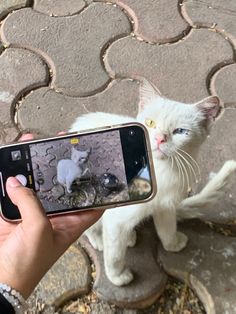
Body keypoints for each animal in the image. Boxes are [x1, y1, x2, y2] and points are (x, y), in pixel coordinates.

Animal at [68, 79, 236, 286]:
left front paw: (172, 244)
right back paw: (99, 239)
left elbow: (167, 228)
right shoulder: (115, 218)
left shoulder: (166, 206)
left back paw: (129, 236)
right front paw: (117, 276)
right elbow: (115, 255)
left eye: (180, 131)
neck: (161, 172)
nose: (159, 139)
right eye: (150, 123)